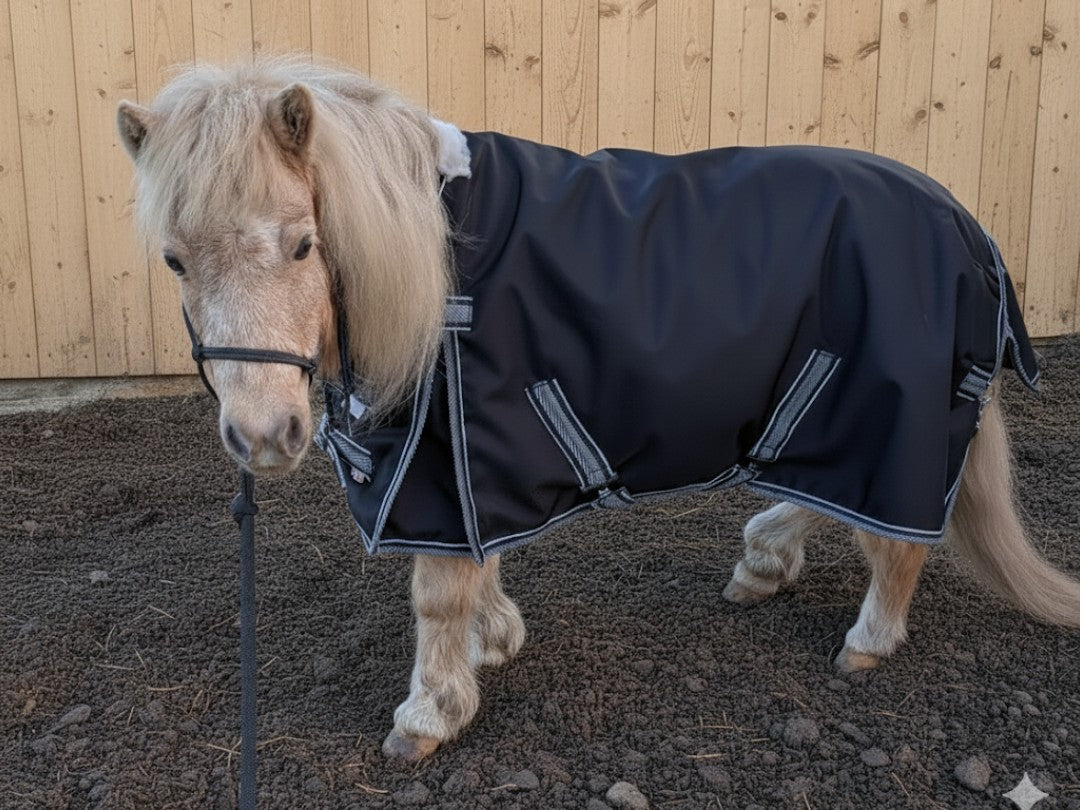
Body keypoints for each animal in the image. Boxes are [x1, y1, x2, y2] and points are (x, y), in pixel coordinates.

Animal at [117, 59, 1080, 762]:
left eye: (303, 243)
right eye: (173, 260)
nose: (261, 436)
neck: (437, 262)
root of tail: (964, 221)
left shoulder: (441, 461)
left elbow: (436, 593)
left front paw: (430, 713)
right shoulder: (467, 465)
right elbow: (477, 564)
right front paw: (495, 639)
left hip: (894, 418)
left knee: (897, 535)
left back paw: (868, 638)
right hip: (824, 410)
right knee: (823, 489)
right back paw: (764, 560)